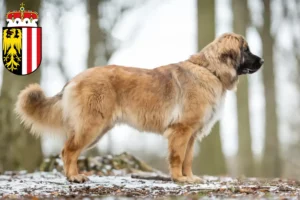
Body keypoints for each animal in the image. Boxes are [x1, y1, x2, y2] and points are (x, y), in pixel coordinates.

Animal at [14, 32, 262, 183]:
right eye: (246, 50)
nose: (262, 61)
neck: (210, 70)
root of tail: (74, 79)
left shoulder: (191, 134)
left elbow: (188, 159)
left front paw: (189, 178)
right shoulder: (181, 131)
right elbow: (177, 157)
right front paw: (179, 179)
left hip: (96, 129)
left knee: (69, 151)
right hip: (91, 126)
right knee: (68, 150)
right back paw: (74, 177)